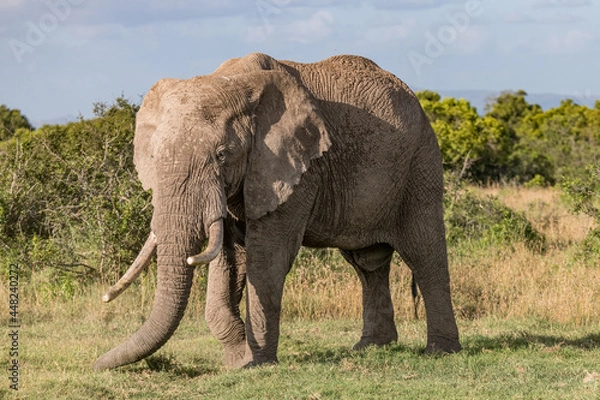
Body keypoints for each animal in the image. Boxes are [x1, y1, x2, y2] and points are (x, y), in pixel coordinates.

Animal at [92, 52, 460, 368]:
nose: (96, 365)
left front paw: (256, 363)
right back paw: (370, 347)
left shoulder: (297, 168)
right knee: (367, 263)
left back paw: (440, 352)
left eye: (222, 155)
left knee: (424, 253)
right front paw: (238, 360)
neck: (232, 81)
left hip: (420, 163)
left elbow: (267, 256)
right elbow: (230, 258)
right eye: (154, 157)